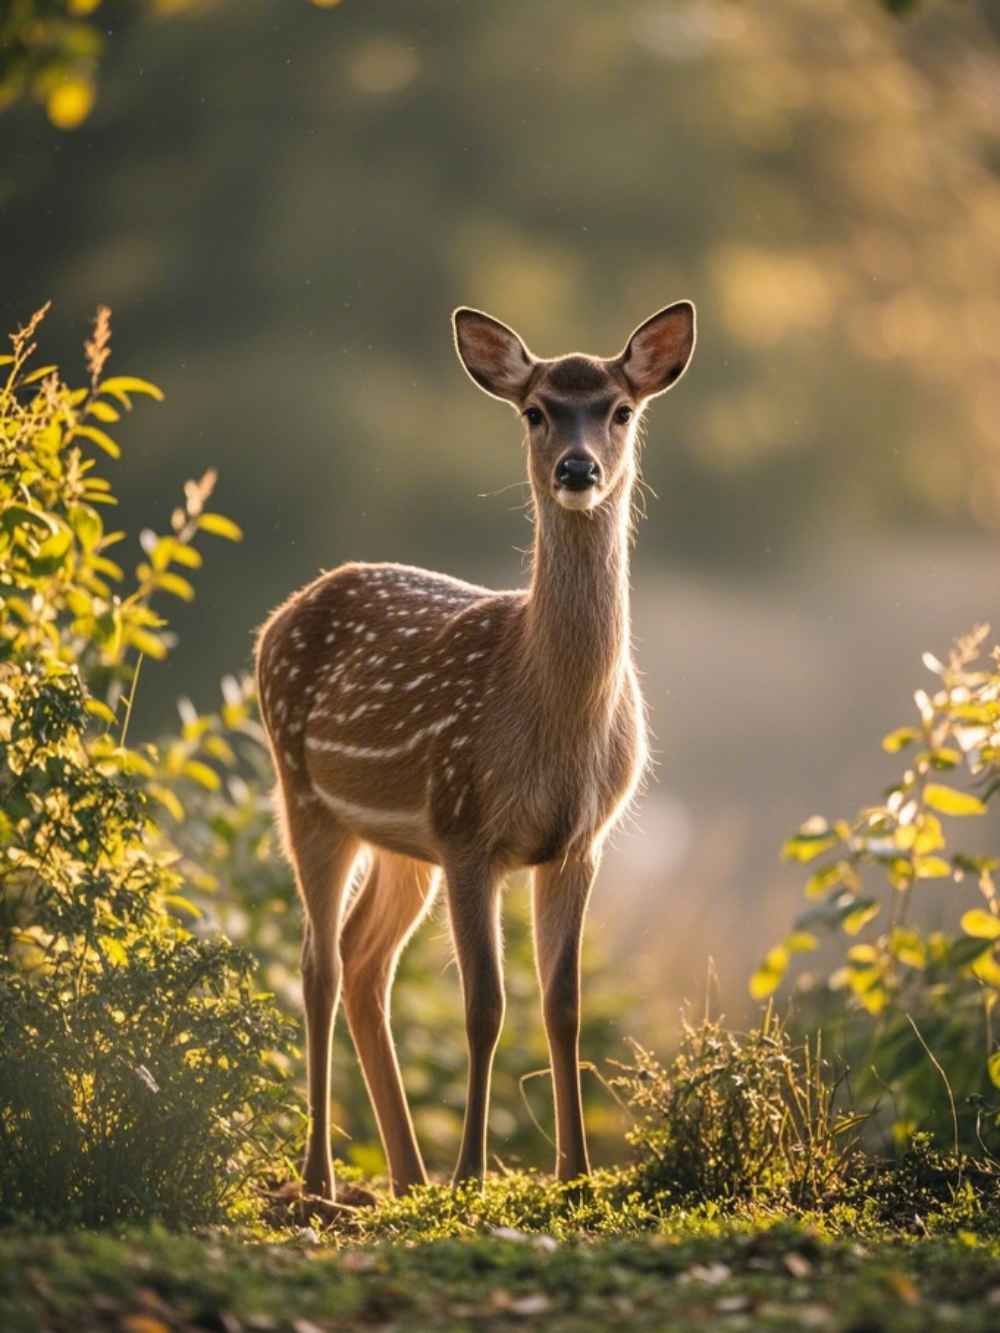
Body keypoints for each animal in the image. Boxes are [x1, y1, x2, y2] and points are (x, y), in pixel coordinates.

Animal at [255, 302, 696, 1208]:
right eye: (535, 410)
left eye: (619, 409)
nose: (576, 468)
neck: (551, 717)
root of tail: (275, 619)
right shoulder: (468, 827)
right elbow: (485, 1004)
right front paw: (471, 1174)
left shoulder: (578, 842)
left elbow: (562, 1002)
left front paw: (575, 1172)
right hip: (304, 795)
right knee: (318, 962)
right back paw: (324, 1178)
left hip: (401, 845)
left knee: (364, 962)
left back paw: (405, 1174)